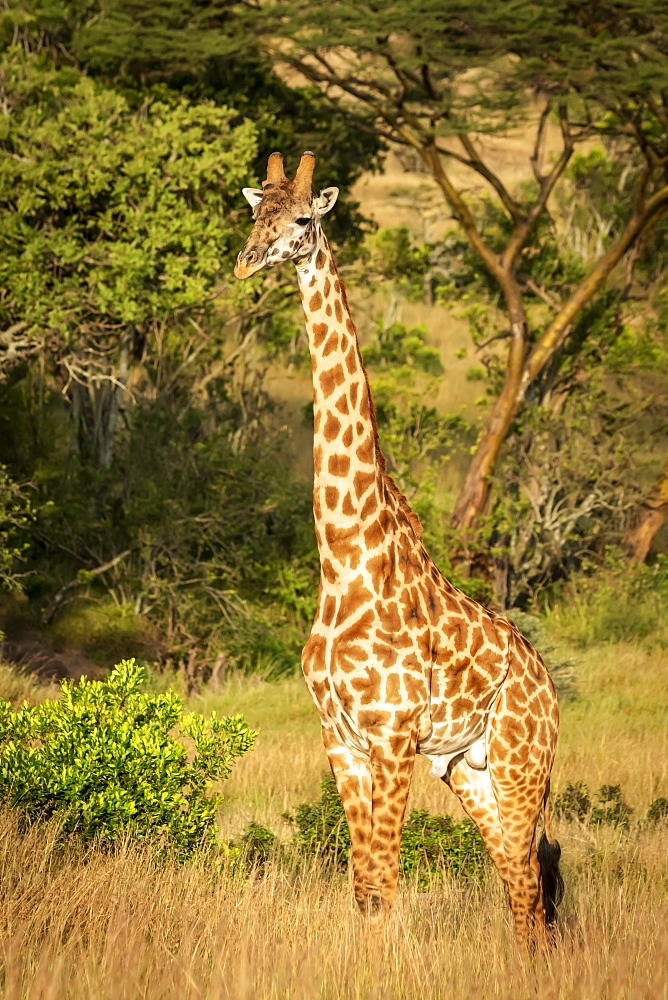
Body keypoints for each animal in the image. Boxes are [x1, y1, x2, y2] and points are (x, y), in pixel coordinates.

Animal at [235, 150, 564, 944]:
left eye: (303, 220)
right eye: (254, 214)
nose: (247, 261)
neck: (345, 561)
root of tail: (551, 692)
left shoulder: (390, 738)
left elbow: (384, 888)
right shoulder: (340, 738)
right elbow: (363, 889)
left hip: (522, 763)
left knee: (531, 885)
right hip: (470, 770)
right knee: (520, 888)